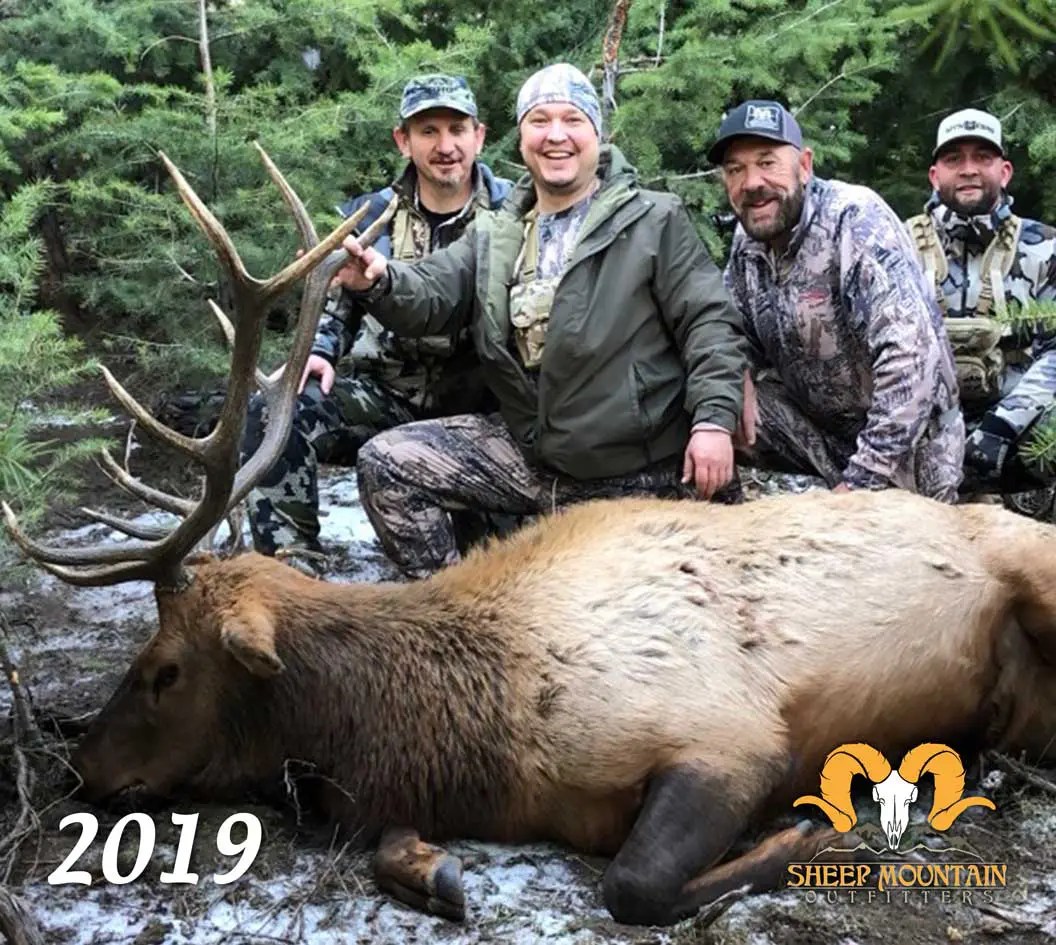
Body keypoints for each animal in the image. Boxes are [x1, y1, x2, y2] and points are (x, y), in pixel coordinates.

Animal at [5, 147, 1056, 929]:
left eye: (165, 669)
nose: (79, 764)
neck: (468, 738)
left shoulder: (730, 737)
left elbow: (633, 884)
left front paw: (811, 834)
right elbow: (392, 845)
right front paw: (435, 869)